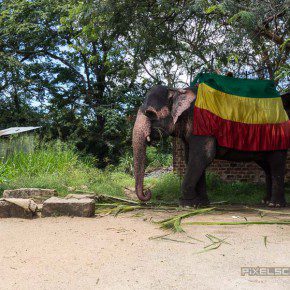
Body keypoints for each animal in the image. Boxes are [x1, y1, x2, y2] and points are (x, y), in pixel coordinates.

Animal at [133, 79, 288, 206]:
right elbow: (191, 158)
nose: (148, 192)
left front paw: (187, 204)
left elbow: (202, 156)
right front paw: (201, 203)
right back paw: (266, 201)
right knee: (267, 166)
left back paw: (275, 205)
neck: (178, 90)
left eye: (150, 114)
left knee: (276, 163)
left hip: (277, 137)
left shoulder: (201, 123)